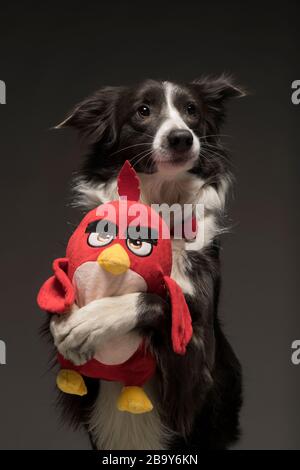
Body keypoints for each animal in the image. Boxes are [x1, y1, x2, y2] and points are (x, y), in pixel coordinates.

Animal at [50, 75, 245, 450]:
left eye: (191, 110)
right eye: (143, 111)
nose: (181, 137)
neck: (161, 203)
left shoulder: (196, 371)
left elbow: (163, 300)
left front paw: (94, 320)